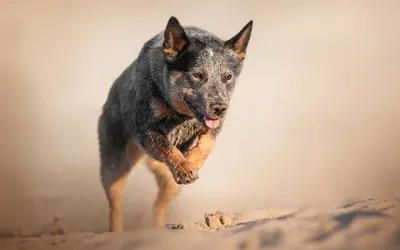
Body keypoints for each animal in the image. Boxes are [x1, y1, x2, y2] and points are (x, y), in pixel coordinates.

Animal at [97, 16, 253, 232]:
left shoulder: (213, 127)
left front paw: (191, 161)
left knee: (159, 204)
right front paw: (185, 166)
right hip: (115, 165)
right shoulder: (146, 130)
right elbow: (167, 147)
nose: (220, 108)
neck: (180, 115)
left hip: (167, 181)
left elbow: (207, 144)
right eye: (197, 75)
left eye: (228, 77)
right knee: (115, 204)